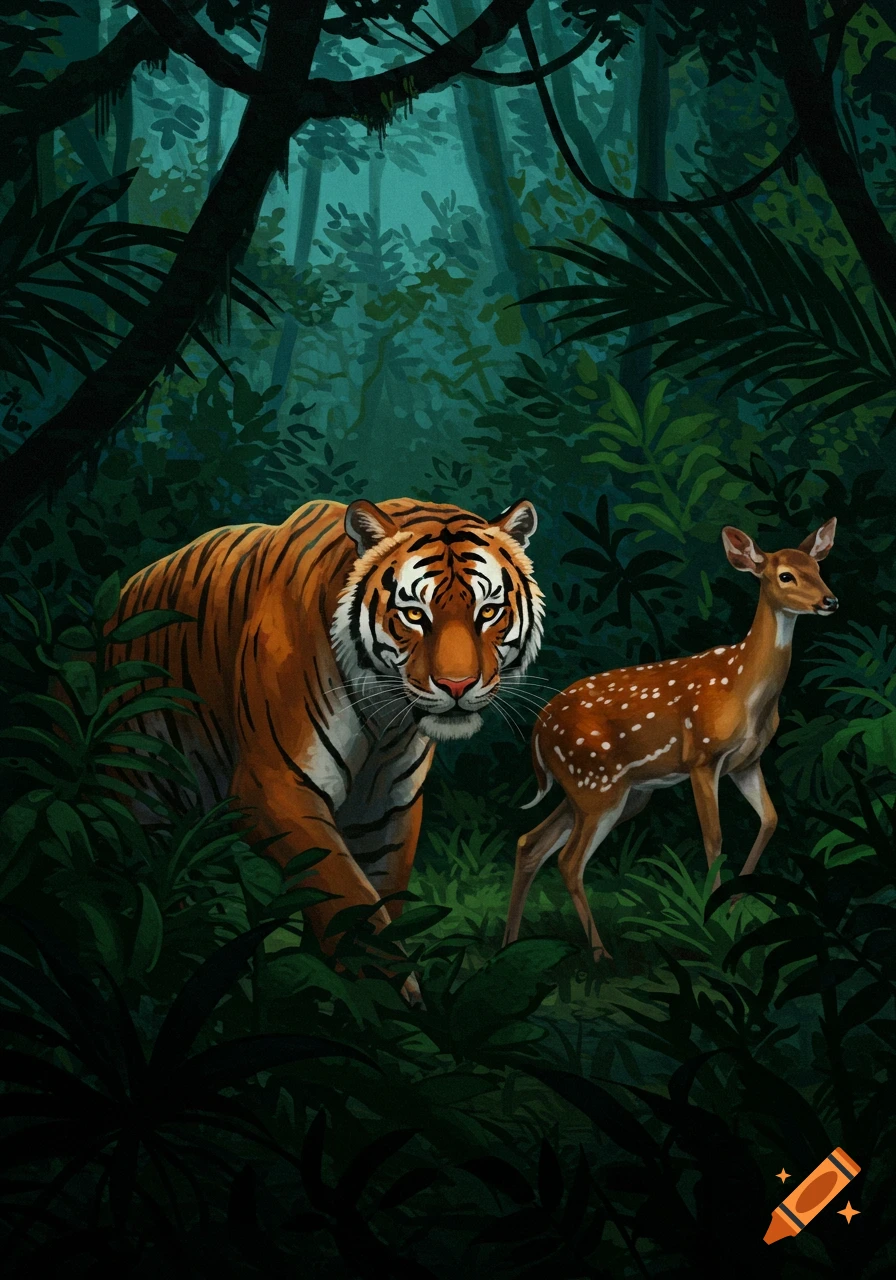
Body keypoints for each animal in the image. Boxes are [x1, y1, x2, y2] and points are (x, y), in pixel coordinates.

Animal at [108, 497, 544, 992]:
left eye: (488, 612)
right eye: (415, 614)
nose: (457, 686)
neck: (385, 724)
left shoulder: (388, 810)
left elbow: (377, 899)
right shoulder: (273, 789)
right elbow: (349, 899)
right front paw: (384, 993)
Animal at [503, 519, 839, 960]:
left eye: (818, 568)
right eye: (786, 575)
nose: (831, 601)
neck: (746, 691)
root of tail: (538, 730)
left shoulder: (747, 762)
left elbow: (769, 820)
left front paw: (733, 905)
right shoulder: (701, 757)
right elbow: (714, 837)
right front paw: (712, 919)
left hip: (605, 792)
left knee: (530, 843)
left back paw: (508, 944)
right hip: (596, 785)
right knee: (568, 861)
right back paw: (601, 954)